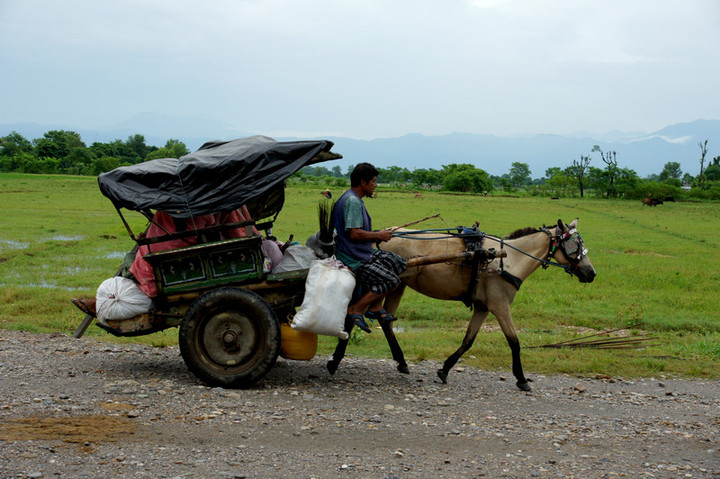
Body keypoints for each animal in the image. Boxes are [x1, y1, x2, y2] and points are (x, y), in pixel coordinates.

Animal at [328, 219, 596, 392]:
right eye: (575, 245)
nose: (591, 273)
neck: (507, 260)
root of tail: (380, 237)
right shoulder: (500, 306)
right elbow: (514, 342)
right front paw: (521, 378)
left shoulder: (483, 308)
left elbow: (468, 340)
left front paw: (445, 369)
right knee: (353, 316)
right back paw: (335, 360)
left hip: (398, 285)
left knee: (385, 320)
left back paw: (401, 362)